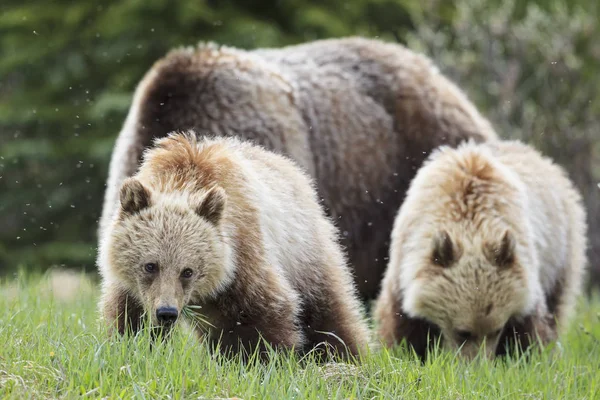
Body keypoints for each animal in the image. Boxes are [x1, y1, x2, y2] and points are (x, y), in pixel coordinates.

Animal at [98, 131, 370, 360]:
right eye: (150, 265)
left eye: (188, 271)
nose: (166, 312)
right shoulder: (132, 289)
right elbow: (128, 321)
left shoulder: (243, 259)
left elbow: (262, 319)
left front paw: (261, 361)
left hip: (303, 252)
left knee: (327, 311)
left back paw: (346, 355)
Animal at [376, 141, 584, 360]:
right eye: (463, 332)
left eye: (496, 330)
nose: (478, 364)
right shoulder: (404, 260)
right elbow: (401, 325)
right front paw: (403, 351)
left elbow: (530, 327)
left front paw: (529, 354)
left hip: (560, 251)